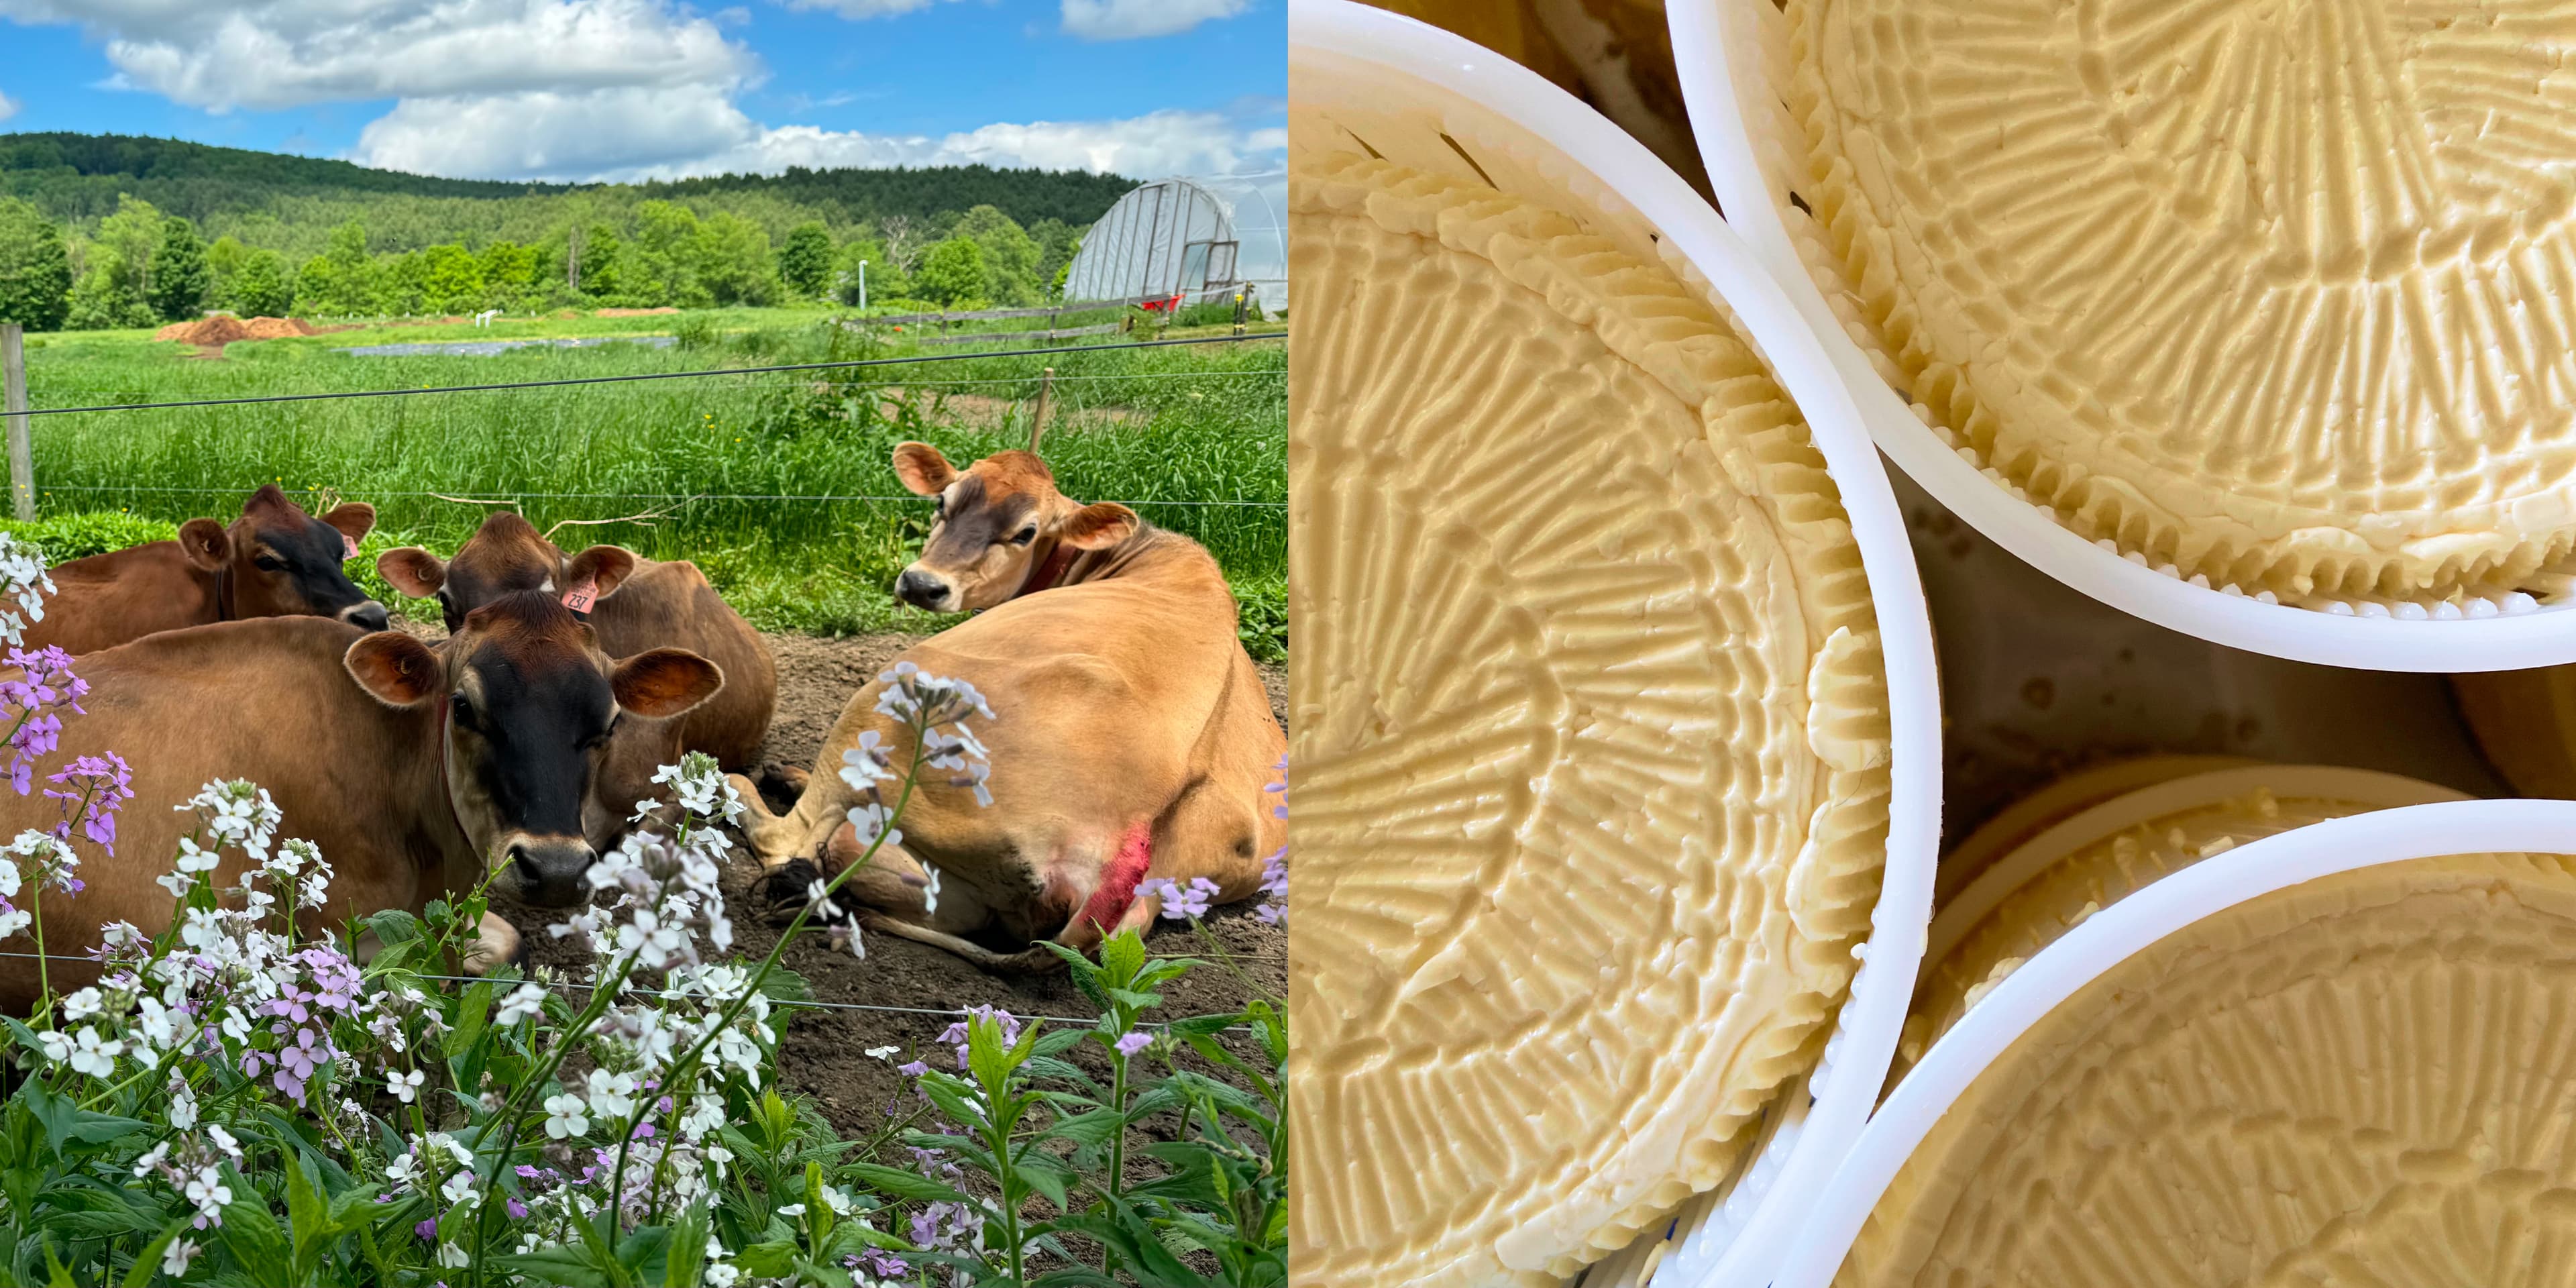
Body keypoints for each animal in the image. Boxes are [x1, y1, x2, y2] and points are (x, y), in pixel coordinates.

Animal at [726, 448, 1288, 968]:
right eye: (943, 503)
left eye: (1026, 532)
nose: (922, 584)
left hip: (894, 690)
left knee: (788, 837)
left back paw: (736, 786)